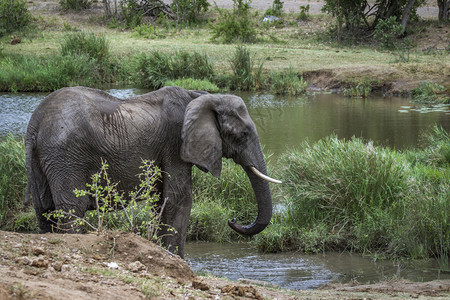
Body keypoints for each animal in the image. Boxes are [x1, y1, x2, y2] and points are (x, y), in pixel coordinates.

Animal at [24, 85, 280, 256]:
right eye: (243, 134)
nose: (233, 219)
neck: (201, 97)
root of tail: (35, 123)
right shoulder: (175, 143)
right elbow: (179, 198)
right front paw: (178, 260)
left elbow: (162, 200)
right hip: (66, 154)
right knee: (72, 208)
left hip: (45, 159)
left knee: (44, 208)